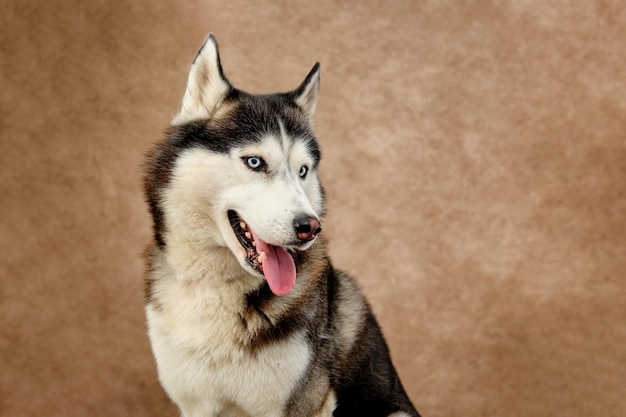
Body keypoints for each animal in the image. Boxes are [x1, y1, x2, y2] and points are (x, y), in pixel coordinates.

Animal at [143, 33, 420, 416]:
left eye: (303, 170)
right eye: (255, 162)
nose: (309, 227)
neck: (215, 286)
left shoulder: (300, 404)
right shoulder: (196, 405)